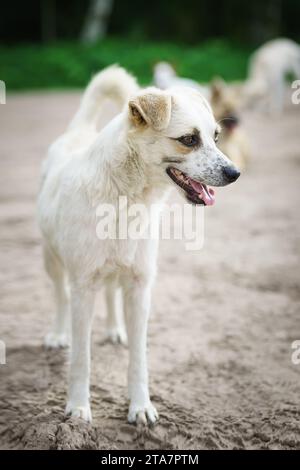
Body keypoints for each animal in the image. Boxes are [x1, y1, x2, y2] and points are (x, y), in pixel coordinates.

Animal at [37, 65, 239, 426]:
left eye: (215, 137)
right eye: (189, 139)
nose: (235, 172)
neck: (127, 198)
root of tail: (78, 132)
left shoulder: (140, 286)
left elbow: (139, 360)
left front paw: (140, 406)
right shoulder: (83, 287)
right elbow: (81, 359)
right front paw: (78, 407)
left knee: (109, 293)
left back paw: (115, 330)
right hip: (53, 260)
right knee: (60, 296)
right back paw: (58, 335)